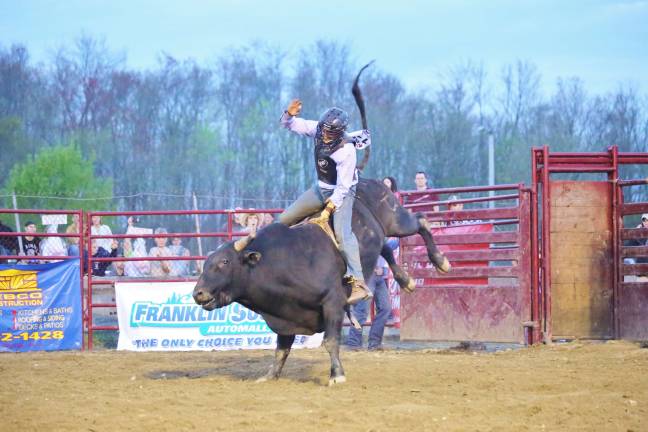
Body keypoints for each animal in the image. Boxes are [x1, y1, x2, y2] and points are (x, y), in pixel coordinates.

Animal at [190, 179, 448, 384]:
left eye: (224, 262)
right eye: (206, 264)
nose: (197, 293)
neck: (280, 263)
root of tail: (368, 182)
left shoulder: (333, 302)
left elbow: (330, 341)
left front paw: (337, 375)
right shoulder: (285, 315)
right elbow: (281, 350)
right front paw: (270, 376)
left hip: (396, 219)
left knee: (421, 221)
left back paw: (441, 261)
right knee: (384, 247)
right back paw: (406, 280)